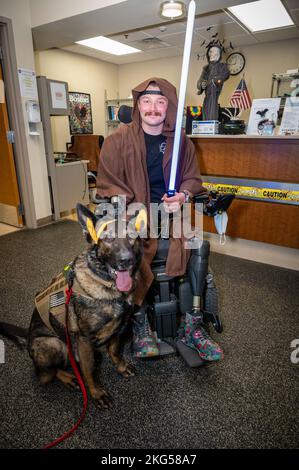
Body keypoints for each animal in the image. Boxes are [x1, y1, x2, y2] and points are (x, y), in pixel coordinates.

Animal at [0, 205, 143, 408]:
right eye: (107, 238)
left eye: (131, 237)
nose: (126, 260)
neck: (107, 286)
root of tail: (28, 338)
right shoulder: (83, 339)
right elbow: (89, 372)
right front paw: (97, 393)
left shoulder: (117, 328)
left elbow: (115, 350)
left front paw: (121, 367)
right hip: (54, 343)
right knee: (47, 374)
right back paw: (70, 378)